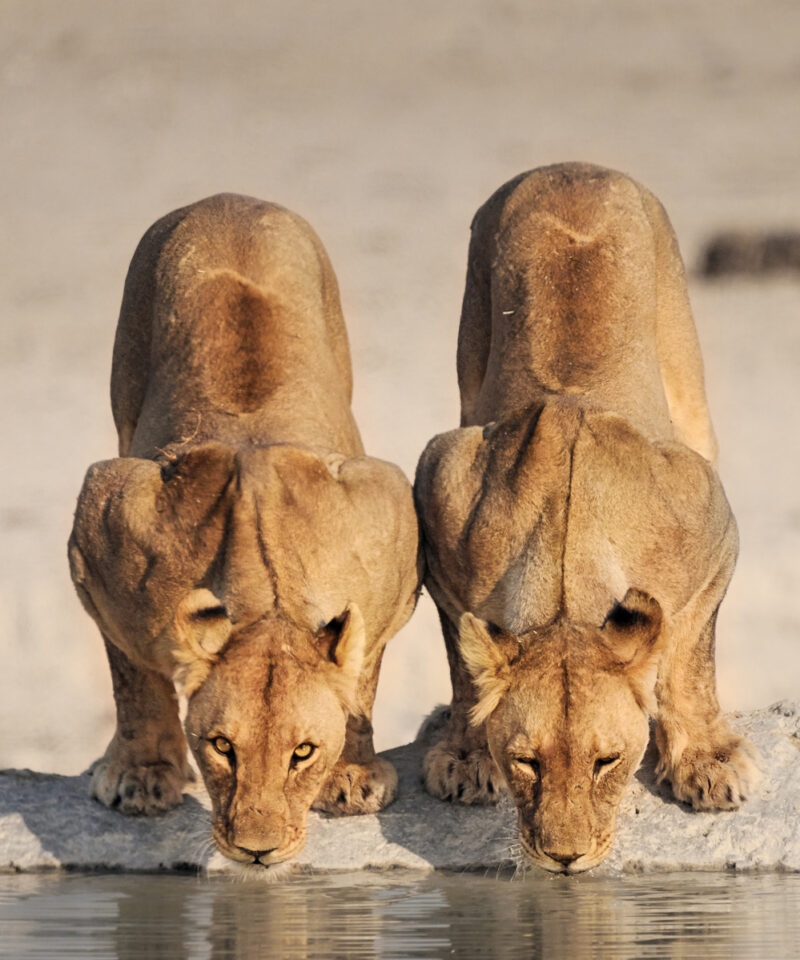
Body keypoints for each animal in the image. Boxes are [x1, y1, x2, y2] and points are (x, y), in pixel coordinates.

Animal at [68, 194, 420, 874]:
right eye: (221, 746)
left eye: (303, 752)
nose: (257, 852)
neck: (267, 602)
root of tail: (227, 201)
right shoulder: (104, 529)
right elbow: (131, 673)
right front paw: (140, 774)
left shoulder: (390, 524)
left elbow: (361, 668)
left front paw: (353, 774)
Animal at [414, 163, 759, 874]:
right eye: (524, 761)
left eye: (607, 761)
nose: (565, 859)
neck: (565, 577)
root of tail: (570, 167)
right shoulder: (439, 506)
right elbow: (463, 663)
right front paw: (461, 753)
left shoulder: (715, 530)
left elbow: (689, 655)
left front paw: (707, 762)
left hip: (689, 386)